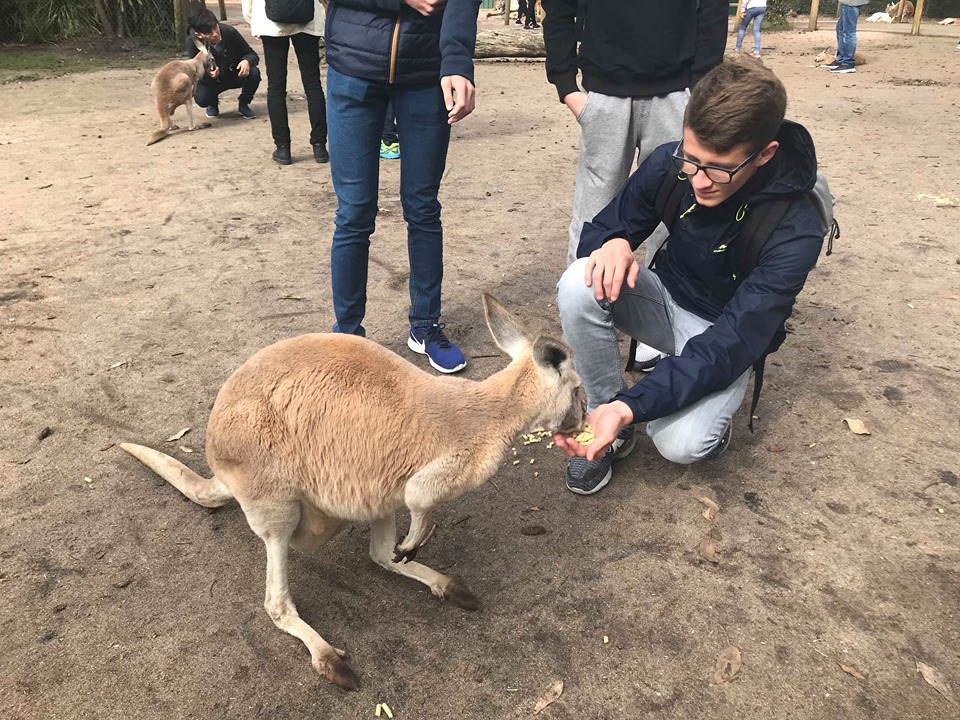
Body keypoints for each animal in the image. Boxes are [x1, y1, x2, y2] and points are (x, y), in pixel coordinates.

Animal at [120, 294, 586, 691]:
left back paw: (446, 584)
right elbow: (422, 499)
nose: (582, 421)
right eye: (579, 391)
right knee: (277, 600)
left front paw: (412, 550)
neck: (496, 412)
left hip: (373, 488)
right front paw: (417, 538)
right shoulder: (441, 470)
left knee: (379, 555)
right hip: (272, 489)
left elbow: (400, 535)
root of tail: (217, 459)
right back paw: (331, 660)